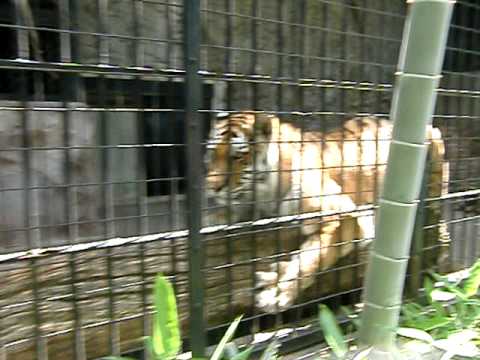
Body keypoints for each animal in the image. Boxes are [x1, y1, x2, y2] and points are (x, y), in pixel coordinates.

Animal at [204, 111, 448, 314]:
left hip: (433, 137)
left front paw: (277, 296)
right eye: (212, 154)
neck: (263, 195)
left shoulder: (343, 216)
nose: (212, 187)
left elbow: (310, 259)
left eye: (237, 157)